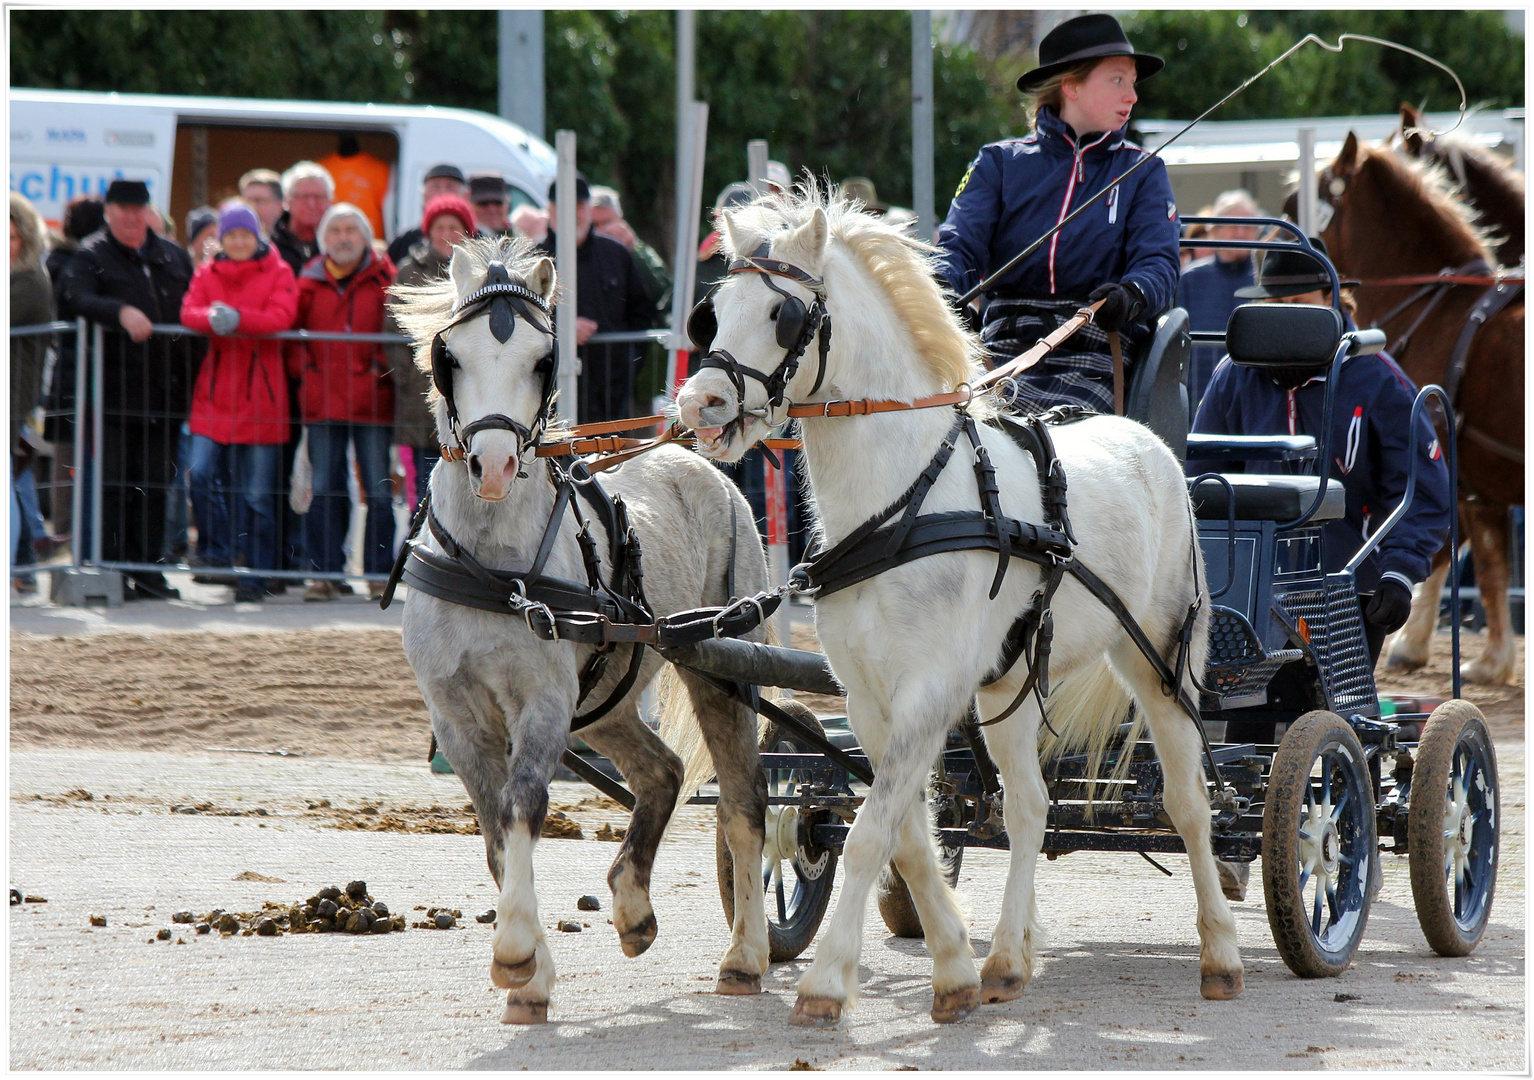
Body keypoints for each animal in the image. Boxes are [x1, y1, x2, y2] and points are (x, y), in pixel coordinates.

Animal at [383, 236, 767, 1018]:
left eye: (541, 359)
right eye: (451, 355)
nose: (494, 465)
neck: (493, 568)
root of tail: (693, 456)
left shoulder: (545, 701)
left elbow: (525, 804)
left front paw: (514, 954)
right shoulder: (456, 717)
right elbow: (495, 832)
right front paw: (533, 973)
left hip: (721, 668)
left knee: (744, 802)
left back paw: (745, 957)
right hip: (610, 697)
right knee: (664, 772)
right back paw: (632, 906)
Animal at [678, 190, 1239, 1024]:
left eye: (784, 315)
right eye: (711, 313)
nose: (699, 403)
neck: (903, 499)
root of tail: (1152, 443)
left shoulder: (931, 691)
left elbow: (869, 832)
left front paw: (824, 982)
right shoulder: (872, 700)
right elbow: (907, 834)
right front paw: (954, 968)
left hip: (1161, 662)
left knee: (1189, 803)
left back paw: (1221, 955)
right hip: (1011, 682)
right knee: (1030, 806)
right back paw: (1008, 958)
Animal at [1294, 130, 1521, 678]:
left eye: (1301, 201)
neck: (1442, 309)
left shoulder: (1456, 468)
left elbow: (1464, 555)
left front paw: (1437, 647)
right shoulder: (1480, 482)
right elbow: (1476, 556)